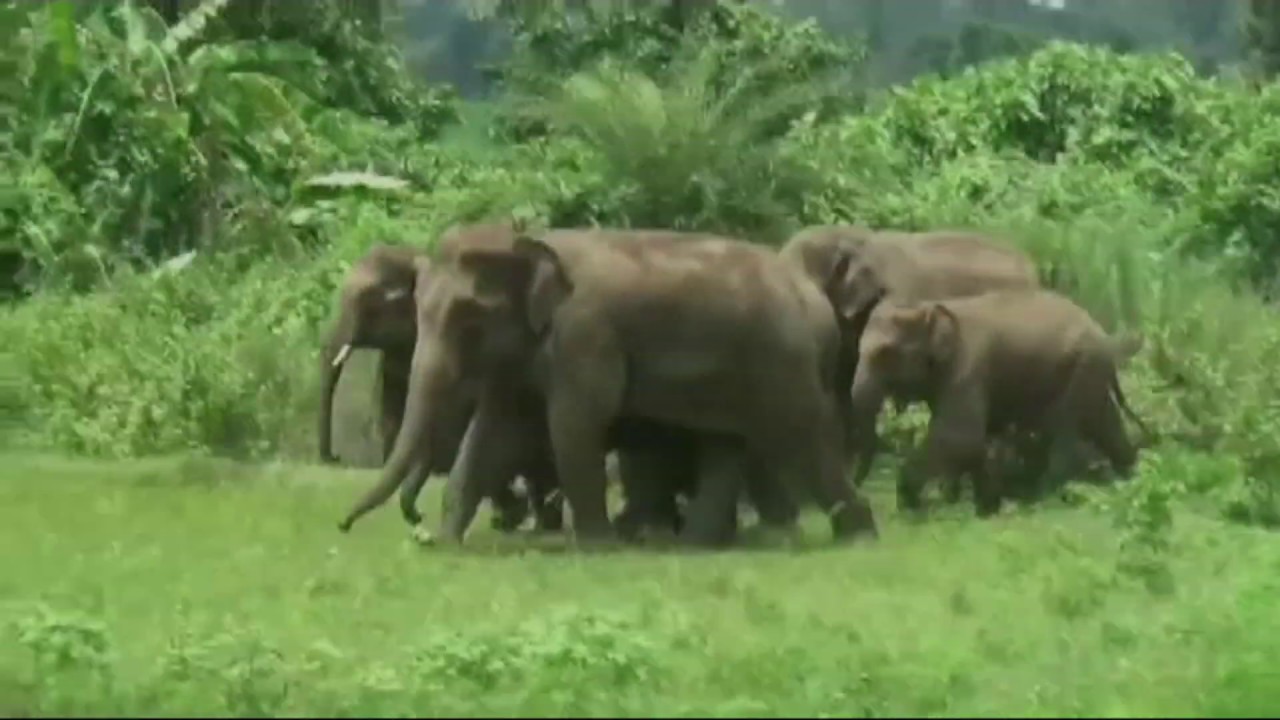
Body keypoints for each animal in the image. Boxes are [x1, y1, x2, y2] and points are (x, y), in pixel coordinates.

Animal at [336, 227, 873, 547]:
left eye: (468, 320)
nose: (341, 525)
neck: (529, 242)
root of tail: (814, 300)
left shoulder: (585, 335)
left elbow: (573, 426)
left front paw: (596, 547)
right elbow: (493, 432)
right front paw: (449, 544)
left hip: (783, 363)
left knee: (805, 438)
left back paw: (858, 536)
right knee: (726, 444)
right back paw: (695, 544)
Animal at [846, 289, 1150, 517]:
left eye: (885, 353)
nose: (860, 491)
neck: (931, 306)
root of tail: (1104, 337)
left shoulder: (968, 368)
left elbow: (959, 437)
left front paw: (909, 505)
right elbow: (974, 443)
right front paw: (985, 509)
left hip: (1081, 370)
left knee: (1065, 433)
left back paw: (1044, 498)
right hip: (1089, 374)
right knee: (1104, 424)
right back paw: (1130, 476)